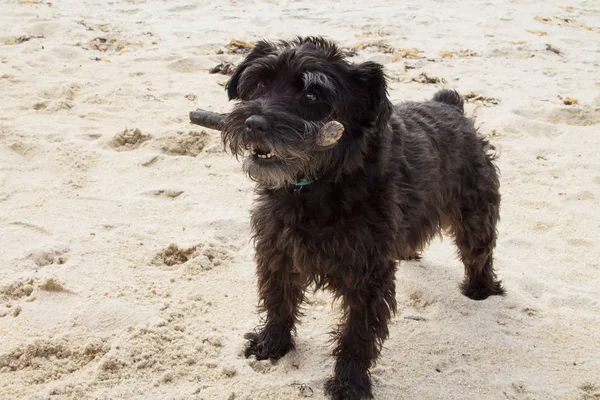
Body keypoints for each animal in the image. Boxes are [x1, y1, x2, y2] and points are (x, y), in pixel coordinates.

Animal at [220, 37, 502, 400]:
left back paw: (480, 289)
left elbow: (358, 332)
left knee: (479, 252)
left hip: (475, 213)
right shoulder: (276, 251)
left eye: (312, 95)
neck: (318, 183)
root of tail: (450, 105)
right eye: (258, 84)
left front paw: (349, 383)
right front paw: (272, 344)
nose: (254, 123)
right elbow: (278, 300)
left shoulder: (367, 274)